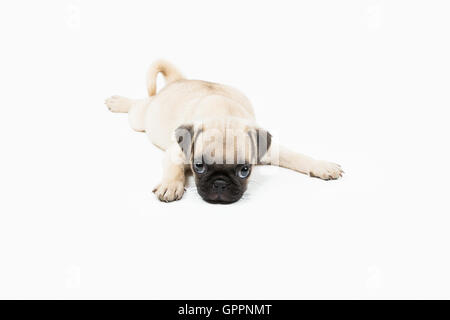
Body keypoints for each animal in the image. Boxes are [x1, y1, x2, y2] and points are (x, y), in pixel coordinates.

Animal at [106, 60, 344, 204]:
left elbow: (297, 156)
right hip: (140, 118)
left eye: (245, 170)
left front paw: (321, 166)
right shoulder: (175, 152)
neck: (224, 114)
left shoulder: (270, 150)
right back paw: (118, 102)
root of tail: (179, 79)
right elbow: (173, 168)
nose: (220, 184)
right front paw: (171, 185)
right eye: (198, 166)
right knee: (137, 105)